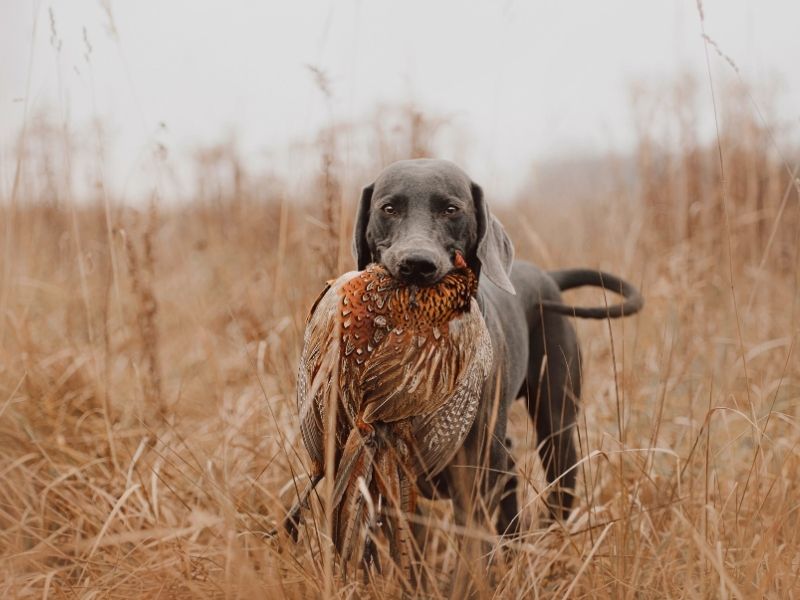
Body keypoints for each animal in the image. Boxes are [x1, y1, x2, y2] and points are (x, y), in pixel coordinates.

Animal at [350, 158, 644, 536]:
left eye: (451, 209)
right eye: (388, 208)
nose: (416, 265)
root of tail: (547, 276)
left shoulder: (473, 474)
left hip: (556, 425)